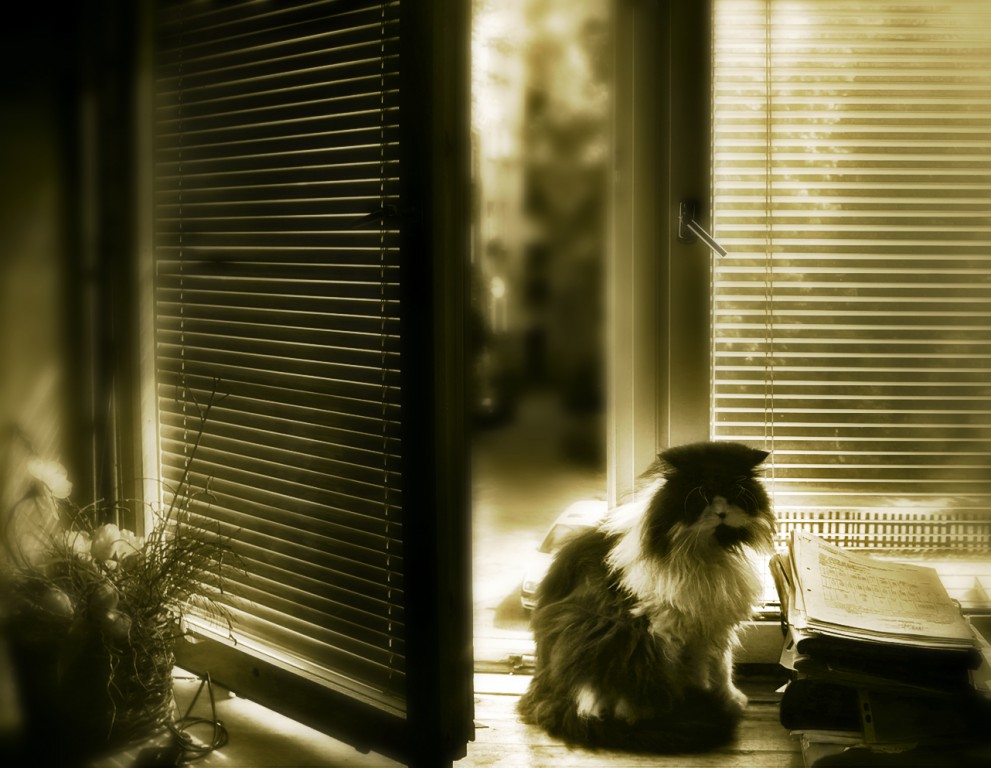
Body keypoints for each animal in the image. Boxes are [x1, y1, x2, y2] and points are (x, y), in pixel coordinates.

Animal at [517, 440, 775, 753]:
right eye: (701, 496)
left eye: (733, 493)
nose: (721, 512)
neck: (708, 553)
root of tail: (550, 694)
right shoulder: (682, 628)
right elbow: (703, 673)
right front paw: (712, 701)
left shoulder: (714, 622)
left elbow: (723, 669)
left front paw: (732, 700)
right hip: (622, 635)